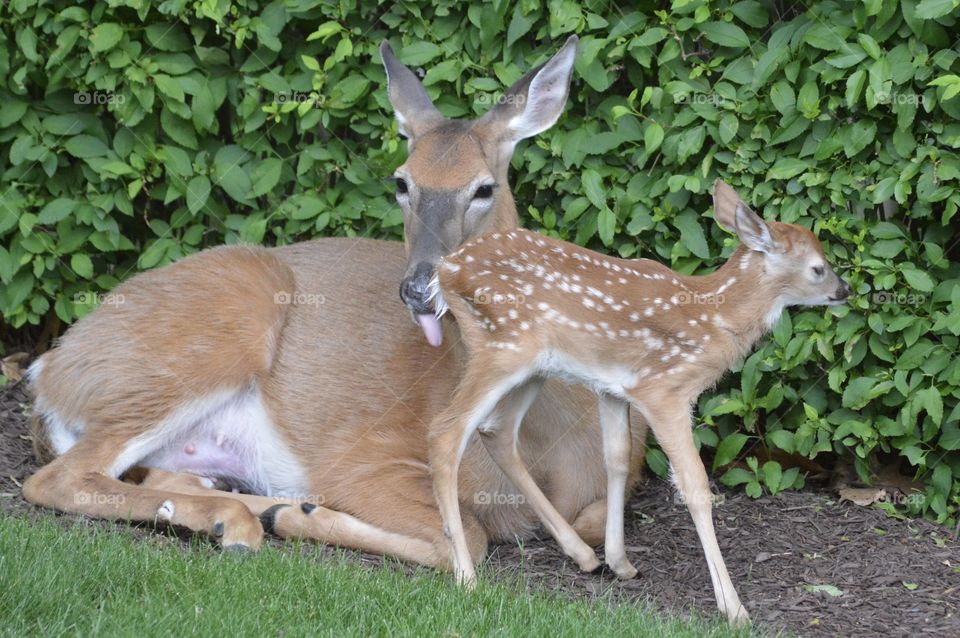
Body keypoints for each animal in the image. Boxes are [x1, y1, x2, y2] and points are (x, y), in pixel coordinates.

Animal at [18, 37, 644, 568]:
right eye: (401, 182)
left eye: (484, 188)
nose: (417, 286)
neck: (549, 440)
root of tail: (50, 369)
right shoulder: (366, 458)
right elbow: (469, 534)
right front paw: (301, 515)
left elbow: (584, 523)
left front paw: (290, 512)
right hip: (211, 334)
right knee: (54, 479)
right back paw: (244, 520)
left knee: (144, 475)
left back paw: (233, 511)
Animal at [432, 180, 852, 624]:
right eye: (818, 267)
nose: (845, 290)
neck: (715, 318)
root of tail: (445, 270)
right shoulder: (664, 390)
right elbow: (694, 485)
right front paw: (734, 608)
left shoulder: (614, 388)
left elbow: (617, 458)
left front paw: (620, 562)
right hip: (502, 347)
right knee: (446, 432)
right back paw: (466, 577)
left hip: (532, 366)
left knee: (496, 431)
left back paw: (584, 555)